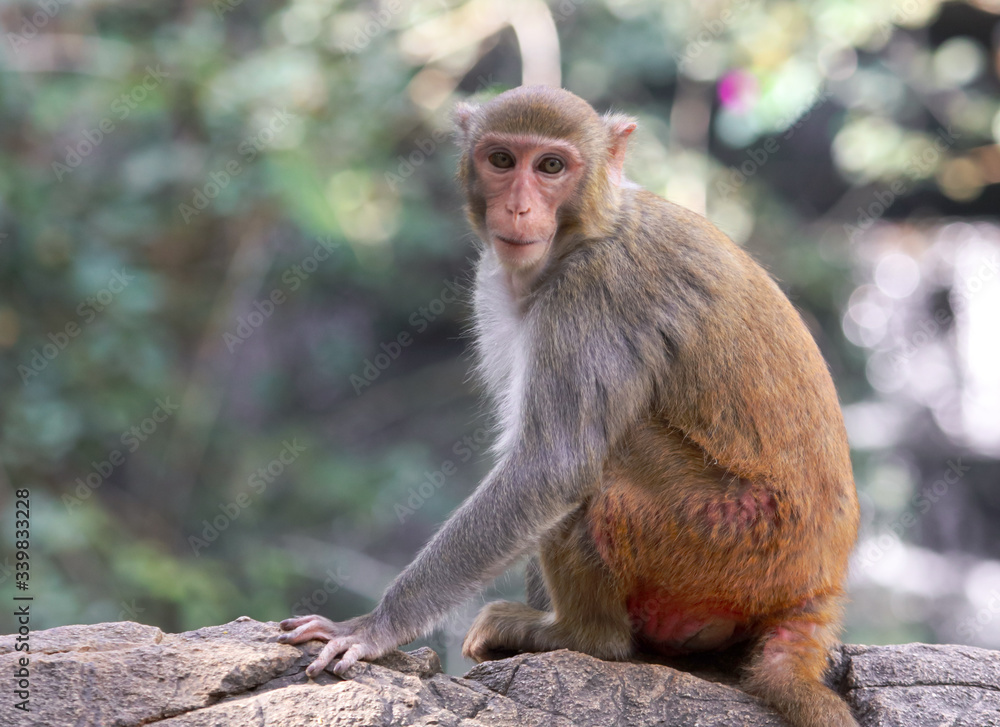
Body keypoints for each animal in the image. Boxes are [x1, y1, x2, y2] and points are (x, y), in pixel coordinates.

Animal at [279, 85, 860, 727]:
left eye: (551, 167)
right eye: (501, 160)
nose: (518, 209)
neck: (586, 233)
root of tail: (817, 591)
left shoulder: (593, 292)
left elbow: (549, 465)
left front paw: (374, 628)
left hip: (729, 542)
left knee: (604, 465)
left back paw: (580, 636)